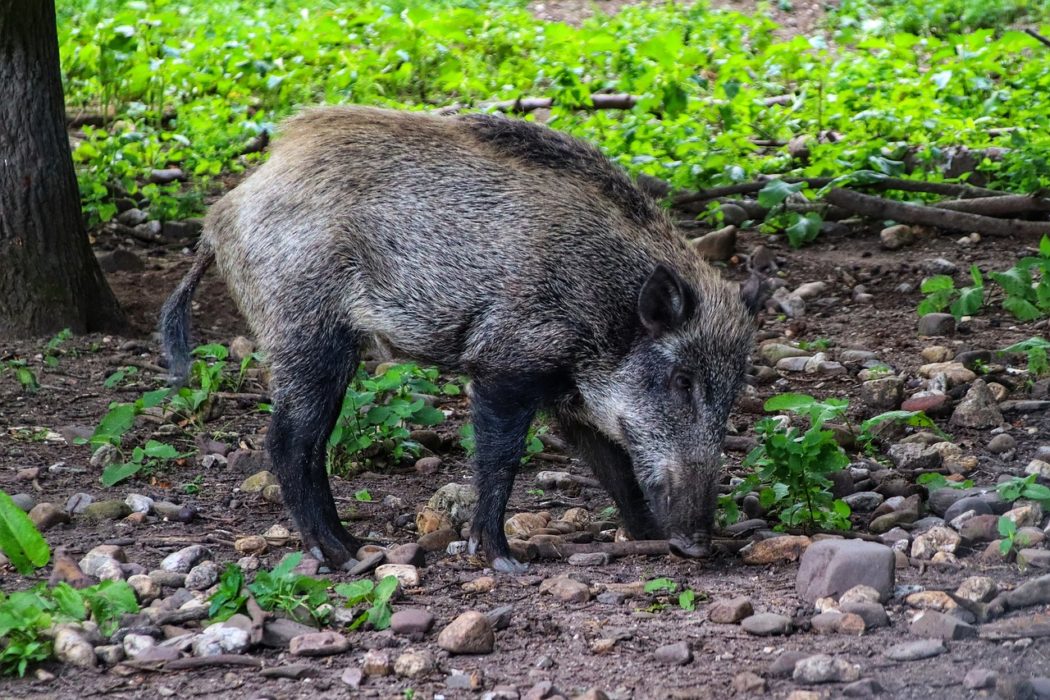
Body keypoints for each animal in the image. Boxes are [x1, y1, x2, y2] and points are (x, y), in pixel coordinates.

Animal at [160, 105, 760, 573]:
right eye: (682, 380)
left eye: (732, 393)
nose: (698, 546)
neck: (605, 306)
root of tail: (220, 215)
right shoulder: (506, 363)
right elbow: (500, 458)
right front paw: (503, 559)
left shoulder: (572, 398)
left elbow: (614, 464)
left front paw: (646, 537)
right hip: (307, 333)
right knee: (291, 442)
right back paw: (347, 554)